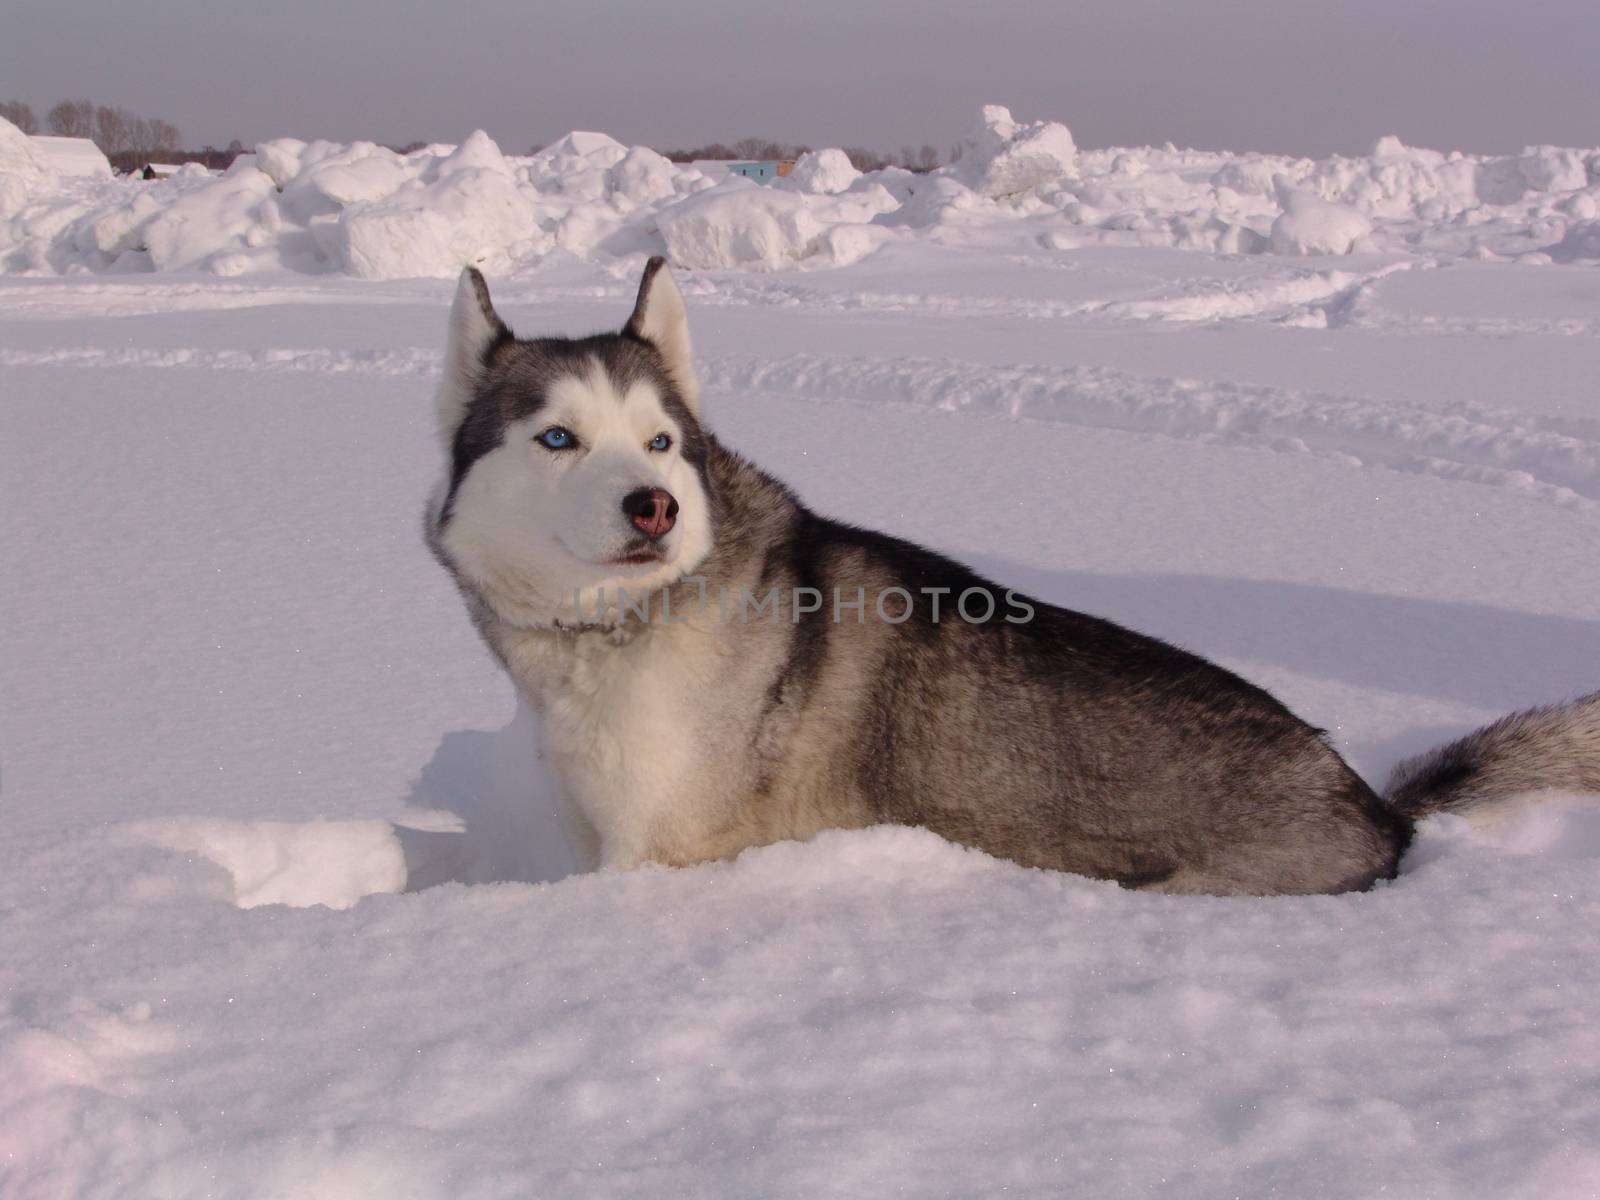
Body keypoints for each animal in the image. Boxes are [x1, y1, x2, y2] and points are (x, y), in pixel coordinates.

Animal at [432, 265, 1600, 902]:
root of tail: (1374, 805)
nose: (655, 509)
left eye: (662, 444)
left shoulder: (658, 856)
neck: (612, 634)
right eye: (557, 438)